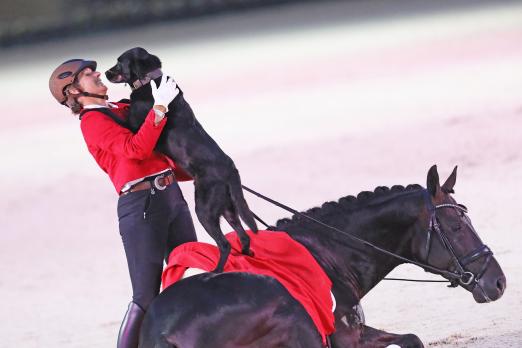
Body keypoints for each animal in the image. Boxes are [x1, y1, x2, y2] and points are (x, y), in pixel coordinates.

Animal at [106, 47, 258, 274]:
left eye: (119, 62)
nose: (105, 73)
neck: (152, 80)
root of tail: (231, 169)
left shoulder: (133, 128)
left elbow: (113, 115)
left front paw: (93, 108)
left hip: (204, 209)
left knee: (225, 244)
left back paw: (216, 271)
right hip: (228, 207)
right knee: (244, 236)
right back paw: (247, 259)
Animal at [138, 167, 504, 348]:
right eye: (456, 226)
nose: (498, 282)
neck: (331, 253)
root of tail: (162, 333)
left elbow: (411, 340)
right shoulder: (346, 339)